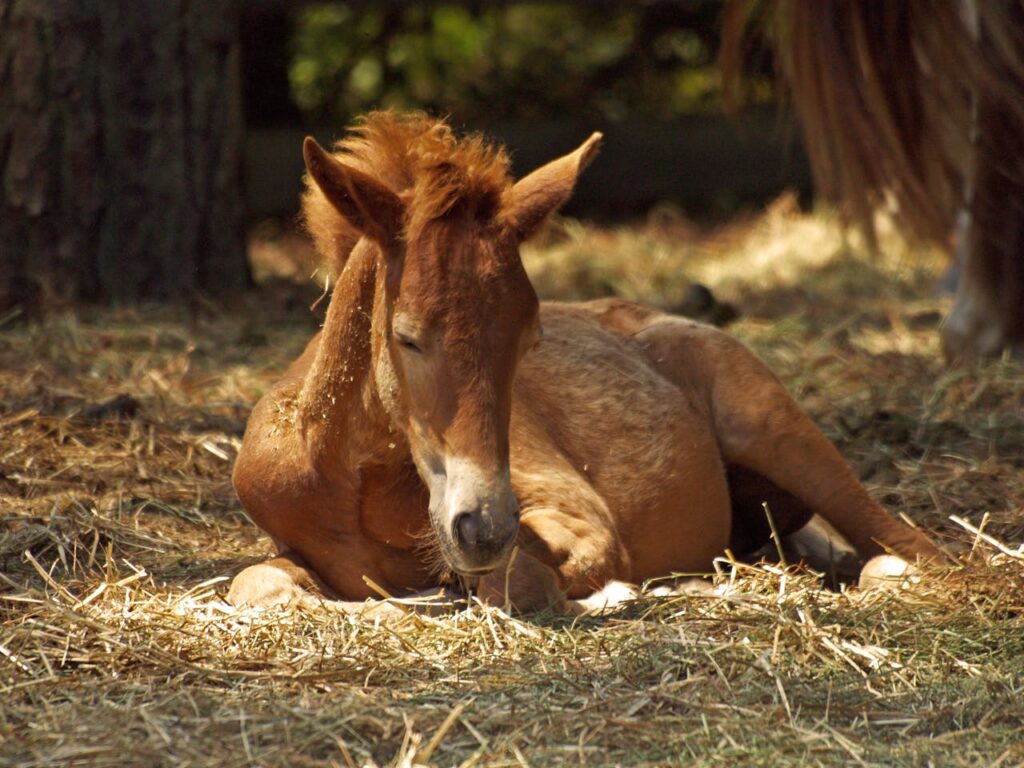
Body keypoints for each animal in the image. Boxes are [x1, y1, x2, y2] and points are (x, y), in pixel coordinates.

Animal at [228, 112, 937, 614]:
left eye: (530, 338)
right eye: (406, 337)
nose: (483, 528)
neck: (353, 483)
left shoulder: (578, 517)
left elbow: (516, 584)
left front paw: (612, 591)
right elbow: (257, 585)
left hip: (775, 428)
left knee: (911, 547)